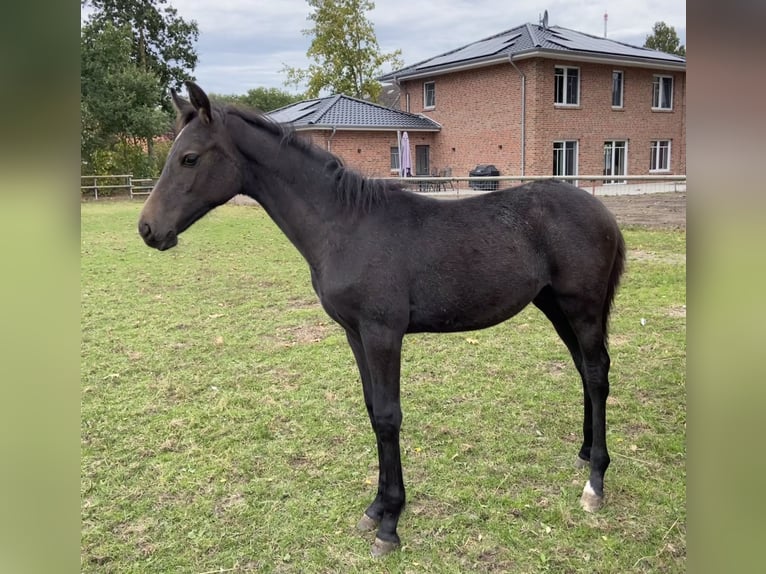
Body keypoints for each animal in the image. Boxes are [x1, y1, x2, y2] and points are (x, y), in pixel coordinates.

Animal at [138, 81, 626, 557]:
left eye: (189, 157)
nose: (147, 229)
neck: (346, 226)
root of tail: (601, 211)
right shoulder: (356, 335)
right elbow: (373, 410)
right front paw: (374, 509)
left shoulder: (383, 334)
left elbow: (389, 417)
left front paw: (390, 524)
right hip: (555, 306)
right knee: (583, 370)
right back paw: (584, 452)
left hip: (581, 307)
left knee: (597, 373)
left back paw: (595, 483)